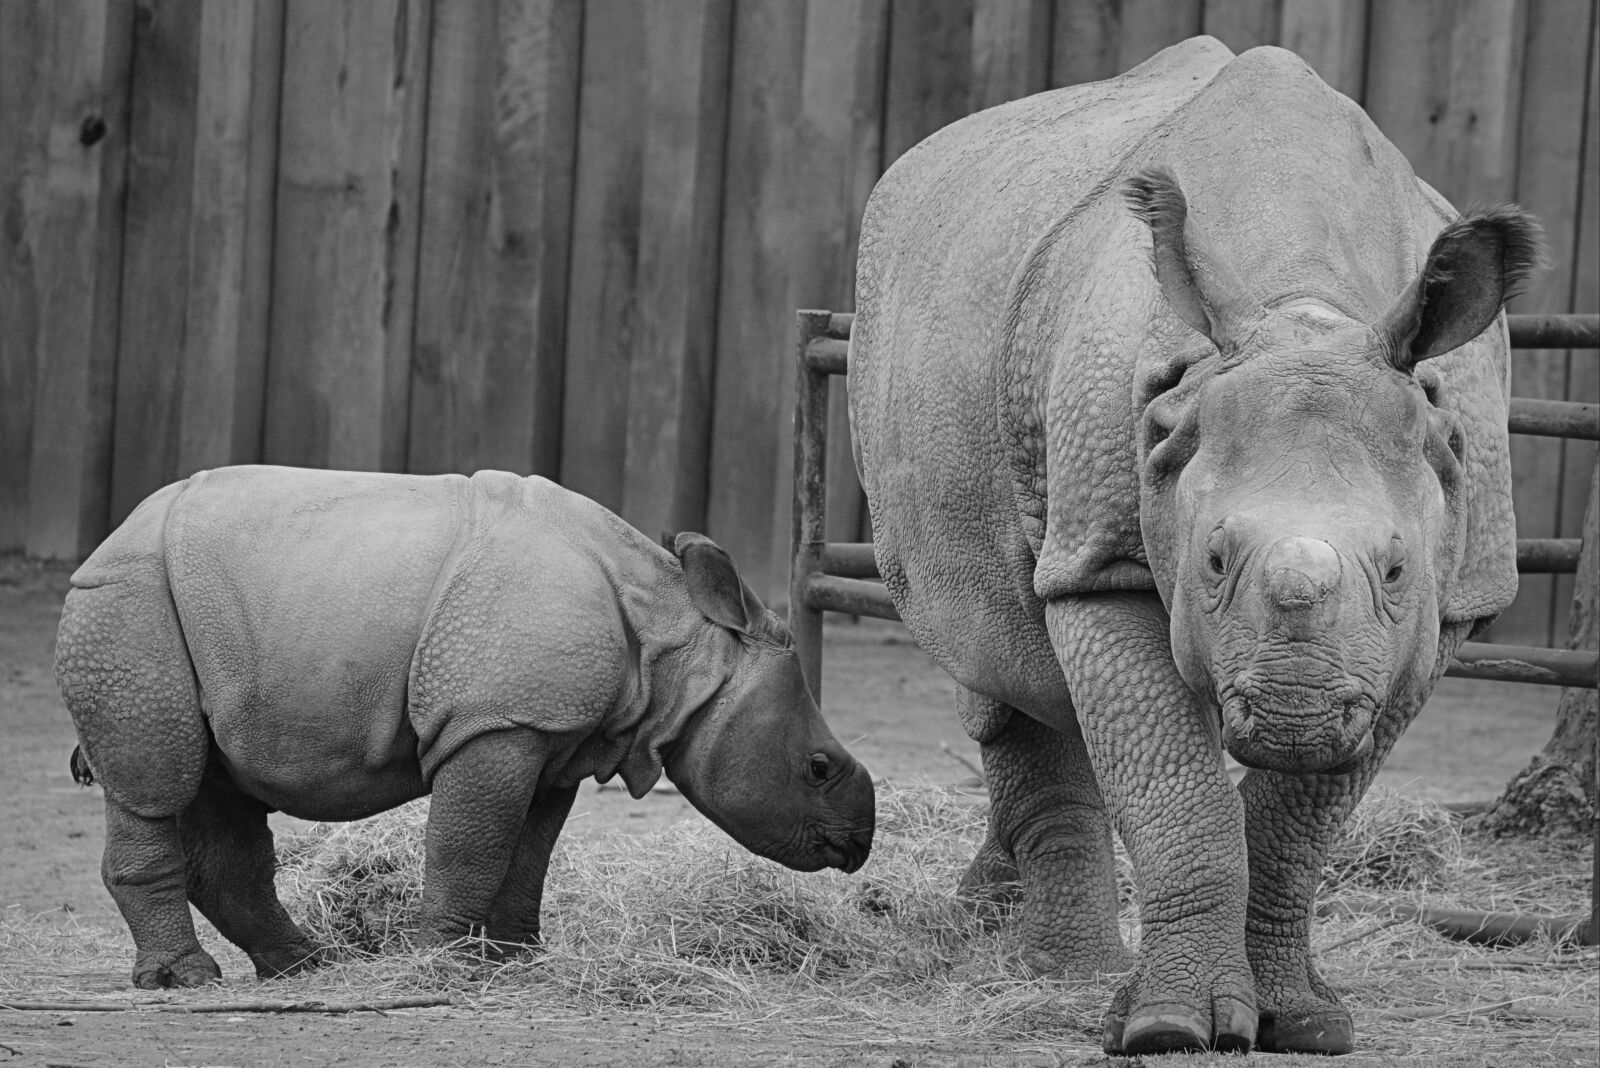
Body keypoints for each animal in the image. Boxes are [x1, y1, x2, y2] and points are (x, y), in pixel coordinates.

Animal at [56, 465, 874, 989]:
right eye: (818, 768)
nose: (856, 847)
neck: (681, 646)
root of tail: (110, 536)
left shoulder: (556, 735)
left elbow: (528, 853)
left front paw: (515, 961)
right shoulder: (499, 722)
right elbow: (470, 844)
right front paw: (441, 963)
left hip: (187, 610)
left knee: (216, 784)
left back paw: (307, 967)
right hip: (127, 599)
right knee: (155, 778)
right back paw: (186, 980)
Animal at [849, 38, 1538, 1056]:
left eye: (1396, 568)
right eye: (1211, 562)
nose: (1296, 713)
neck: (1308, 310)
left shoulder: (1450, 602)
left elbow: (1294, 824)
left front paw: (1303, 1024)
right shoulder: (1106, 557)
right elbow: (1182, 794)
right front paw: (1168, 1028)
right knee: (999, 651)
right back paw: (1061, 972)